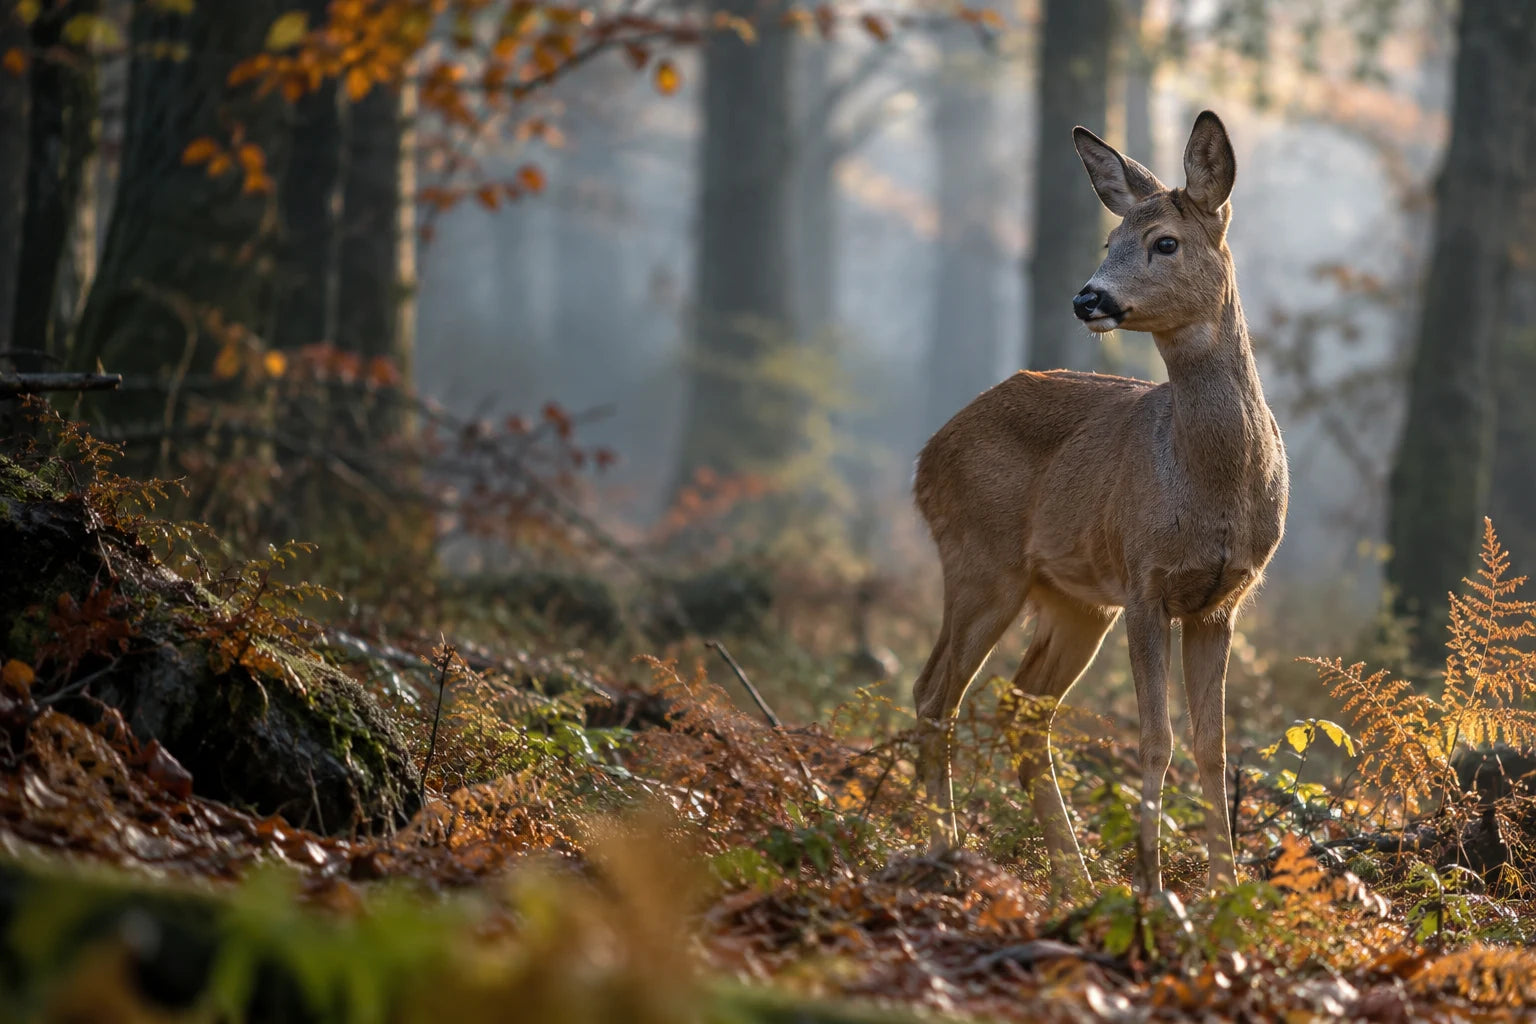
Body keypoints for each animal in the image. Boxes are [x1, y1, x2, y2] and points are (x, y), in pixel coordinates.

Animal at [910, 111, 1288, 900]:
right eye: (1107, 242)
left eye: (1163, 241)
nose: (1089, 298)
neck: (1210, 485)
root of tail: (926, 454)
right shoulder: (1145, 581)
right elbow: (1156, 737)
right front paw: (1152, 884)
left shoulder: (1222, 600)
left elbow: (1213, 744)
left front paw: (1226, 889)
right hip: (981, 560)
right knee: (936, 696)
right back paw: (947, 852)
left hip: (1075, 600)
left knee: (1021, 709)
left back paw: (1075, 878)